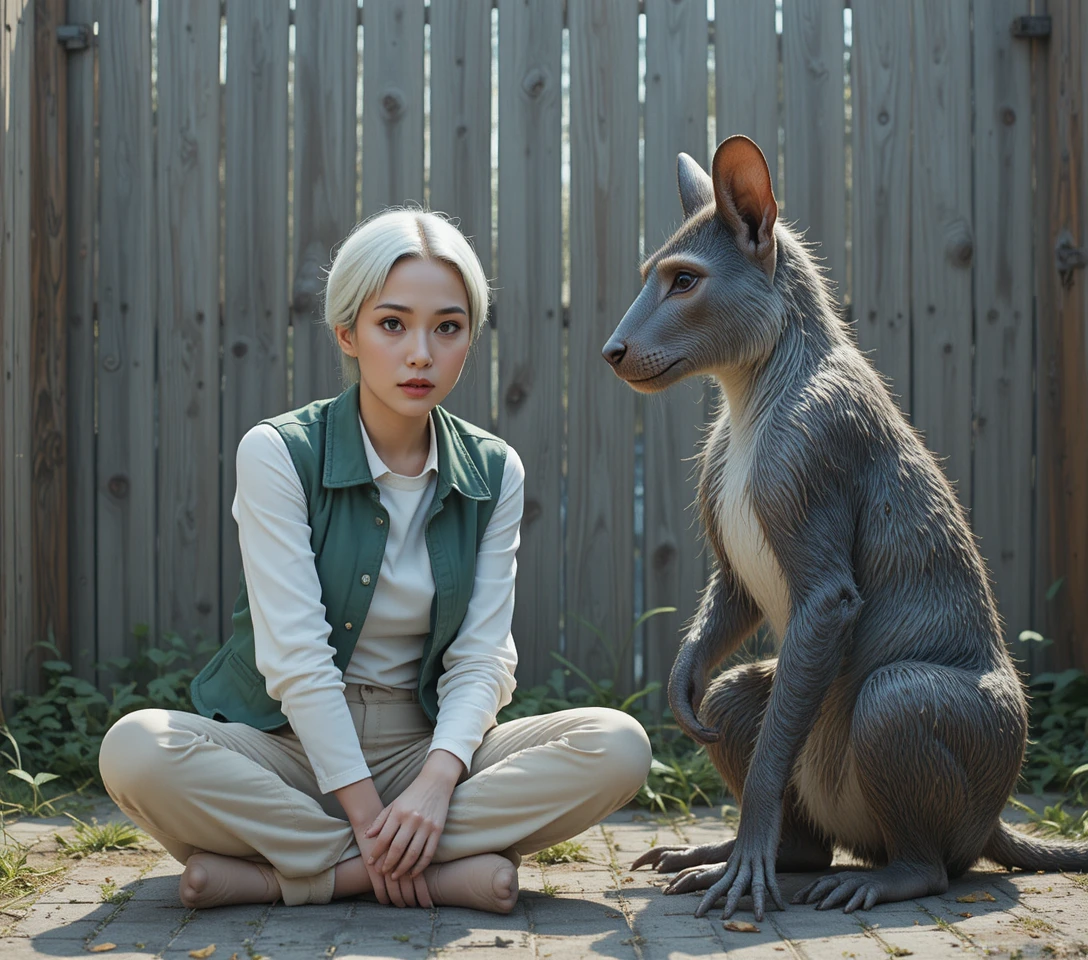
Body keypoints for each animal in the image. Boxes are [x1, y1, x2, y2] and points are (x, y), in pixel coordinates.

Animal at [601, 135, 1088, 921]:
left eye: (684, 281)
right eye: (655, 276)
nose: (613, 353)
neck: (751, 395)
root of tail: (994, 820)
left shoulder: (815, 453)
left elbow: (827, 598)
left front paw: (747, 869)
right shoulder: (732, 539)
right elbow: (732, 597)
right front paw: (681, 684)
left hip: (909, 715)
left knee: (926, 846)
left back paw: (853, 875)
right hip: (790, 719)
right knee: (750, 727)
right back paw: (724, 857)